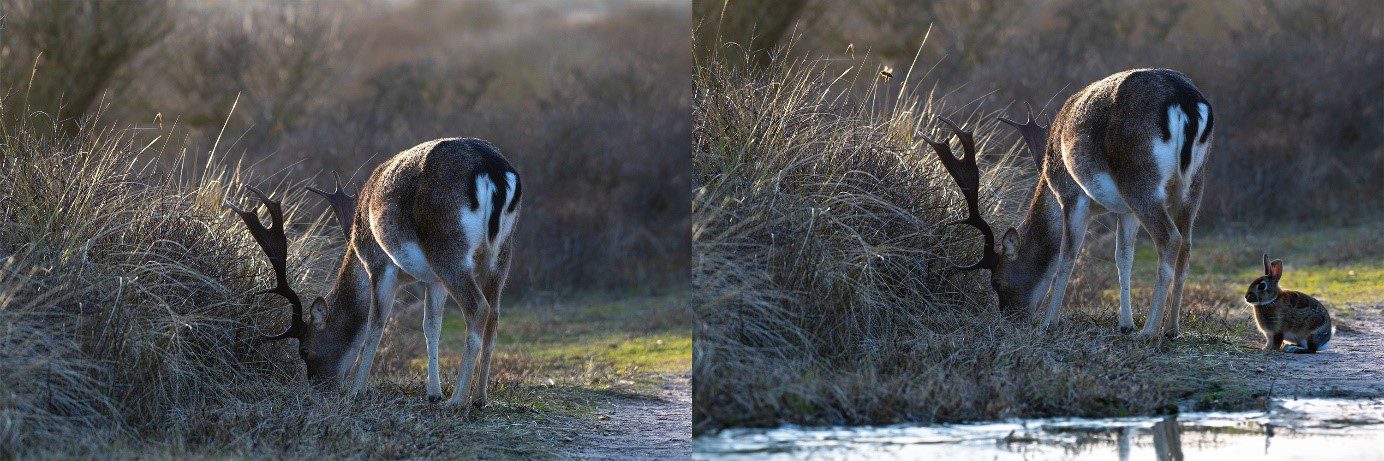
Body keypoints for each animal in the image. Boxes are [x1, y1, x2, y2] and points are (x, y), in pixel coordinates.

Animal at [226, 135, 520, 407]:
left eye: (305, 350)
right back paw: (479, 398)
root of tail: (493, 170)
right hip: (501, 253)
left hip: (448, 249)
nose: (319, 386)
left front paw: (357, 391)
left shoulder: (380, 265)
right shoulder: (432, 279)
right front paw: (433, 393)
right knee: (494, 314)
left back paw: (457, 401)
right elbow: (431, 326)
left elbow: (374, 325)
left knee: (478, 307)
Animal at [930, 69, 1212, 339]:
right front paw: (1125, 325)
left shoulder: (1072, 196)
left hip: (1140, 180)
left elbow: (1067, 256)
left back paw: (1150, 332)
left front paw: (1048, 323)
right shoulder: (1125, 210)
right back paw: (1171, 329)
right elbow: (1123, 257)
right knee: (1186, 246)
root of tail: (1184, 100)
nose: (1011, 317)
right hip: (1193, 185)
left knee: (1170, 238)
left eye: (997, 281)